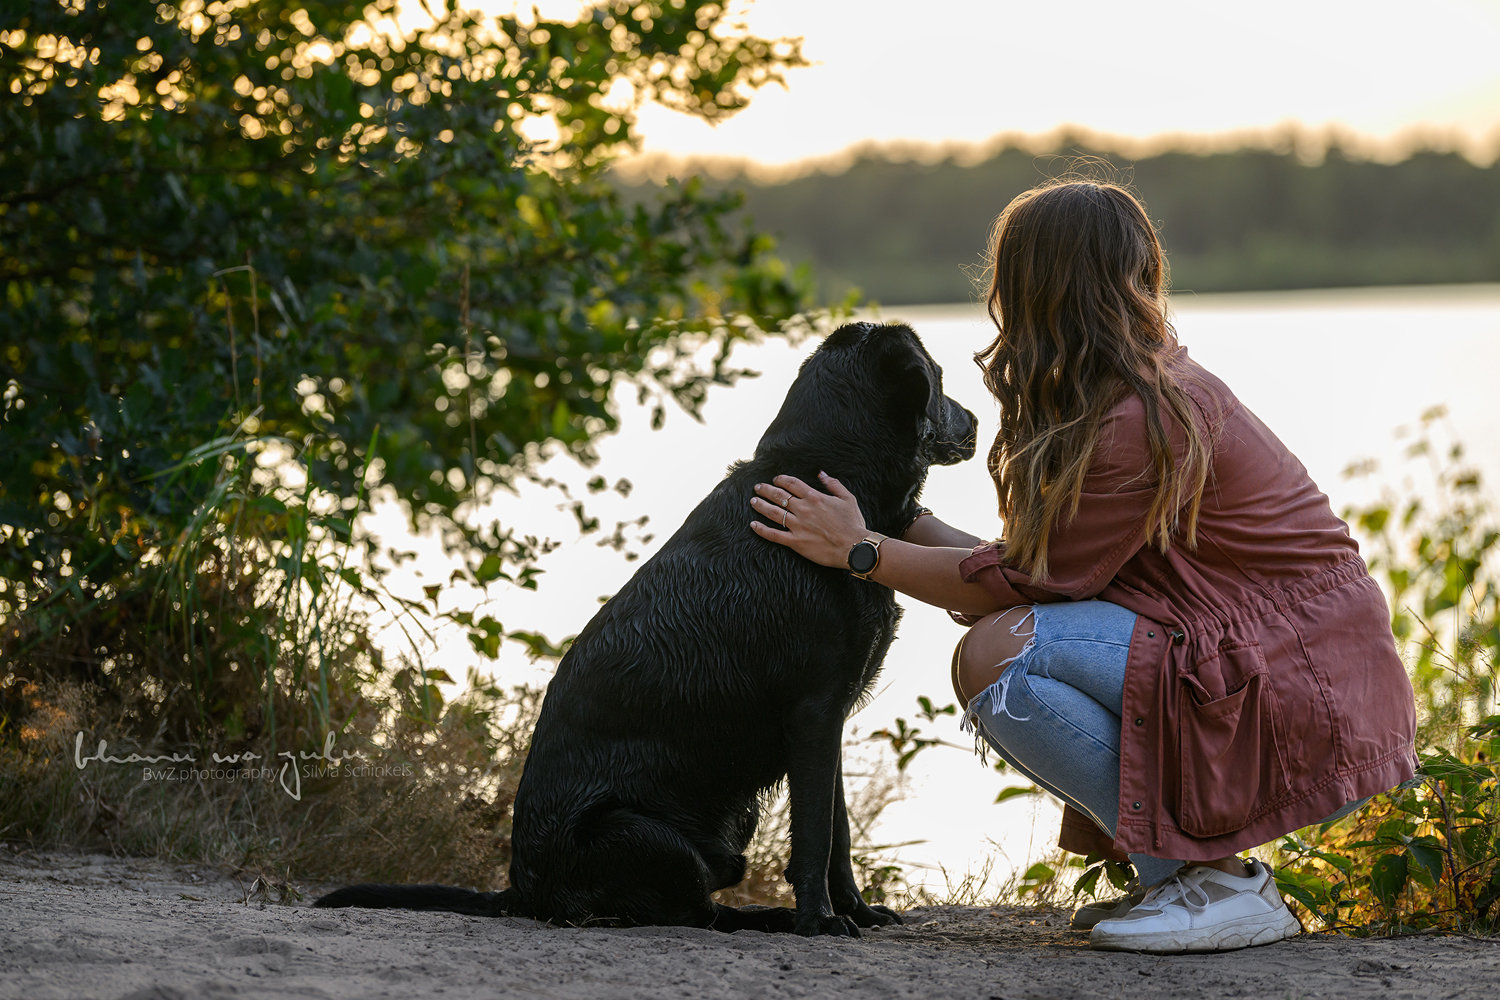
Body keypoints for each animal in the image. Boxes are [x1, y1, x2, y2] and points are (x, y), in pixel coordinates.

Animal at [316, 322, 978, 941]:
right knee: (693, 913)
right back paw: (770, 918)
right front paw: (819, 922)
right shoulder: (814, 712)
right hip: (643, 836)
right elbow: (815, 838)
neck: (825, 475)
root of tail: (519, 892)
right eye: (941, 378)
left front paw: (857, 912)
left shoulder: (830, 716)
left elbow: (837, 837)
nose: (974, 419)